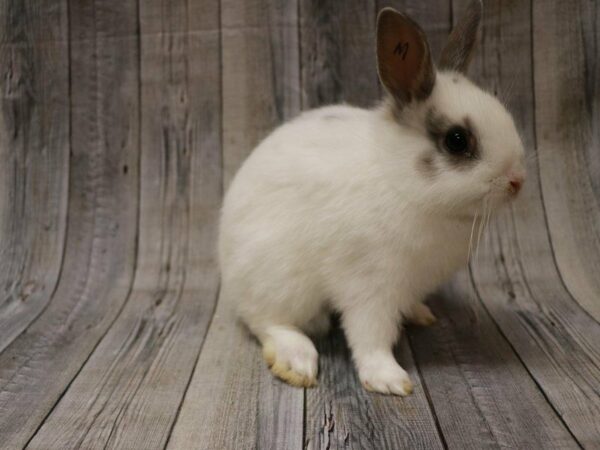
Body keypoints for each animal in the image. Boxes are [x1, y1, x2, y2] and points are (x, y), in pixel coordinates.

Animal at [219, 0, 524, 394]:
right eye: (457, 140)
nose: (517, 181)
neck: (401, 182)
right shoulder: (369, 286)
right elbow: (370, 336)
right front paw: (390, 380)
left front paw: (420, 315)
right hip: (279, 283)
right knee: (267, 322)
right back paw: (296, 360)